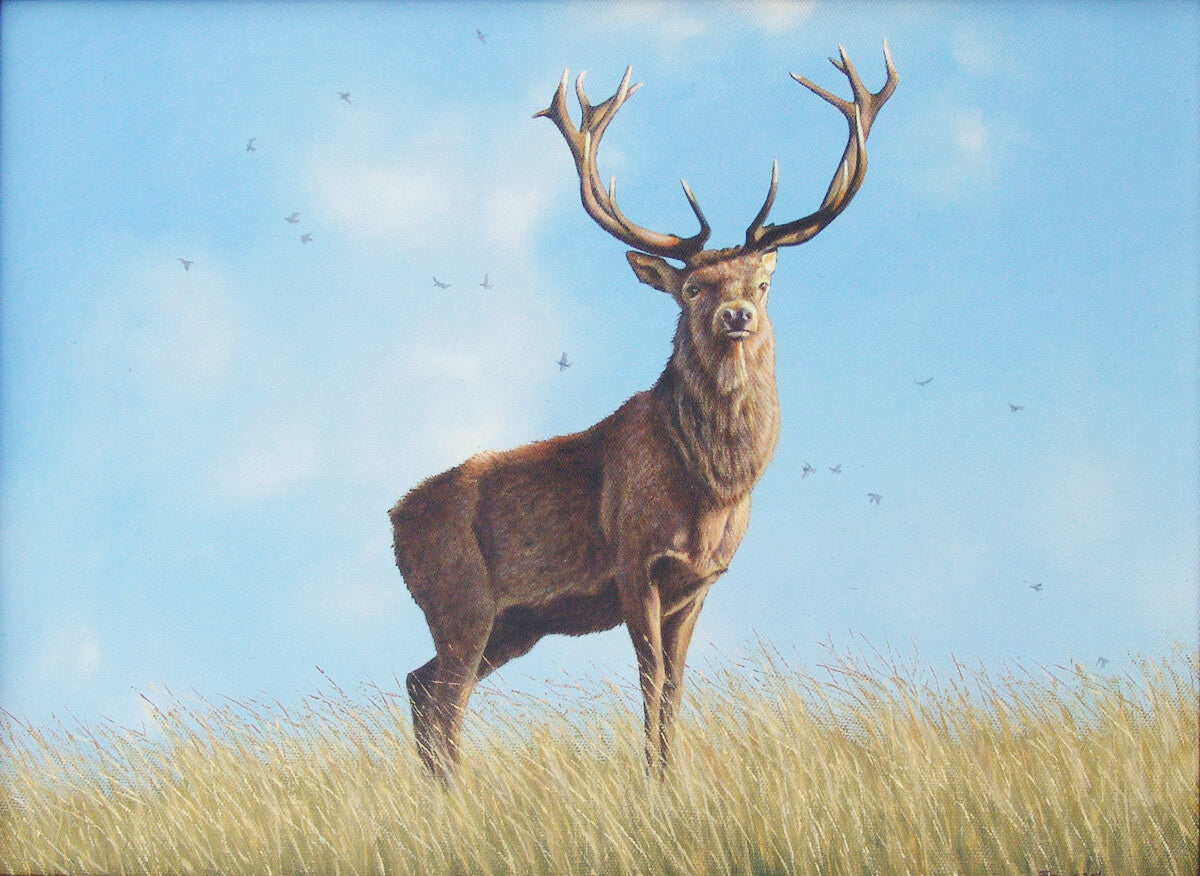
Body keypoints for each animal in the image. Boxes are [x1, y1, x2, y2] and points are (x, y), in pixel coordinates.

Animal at [390, 43, 897, 781]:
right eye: (692, 288)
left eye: (761, 284)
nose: (736, 315)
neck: (710, 488)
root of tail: (392, 523)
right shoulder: (634, 563)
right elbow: (650, 679)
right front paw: (655, 786)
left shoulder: (700, 582)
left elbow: (676, 687)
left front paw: (669, 779)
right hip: (460, 598)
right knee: (445, 698)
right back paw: (459, 794)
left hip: (514, 623)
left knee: (421, 684)